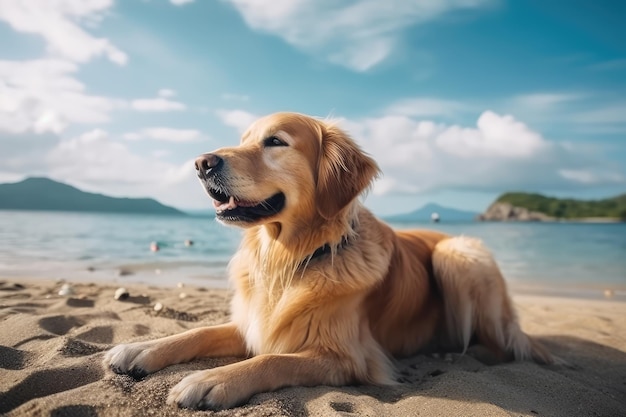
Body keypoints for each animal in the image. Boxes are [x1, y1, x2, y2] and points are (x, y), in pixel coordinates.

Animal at [103, 111, 556, 410]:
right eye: (244, 138)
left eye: (275, 142)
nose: (202, 163)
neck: (290, 259)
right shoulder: (254, 322)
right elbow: (196, 332)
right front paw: (140, 350)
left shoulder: (347, 357)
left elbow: (270, 359)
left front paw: (211, 380)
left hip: (458, 253)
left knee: (501, 344)